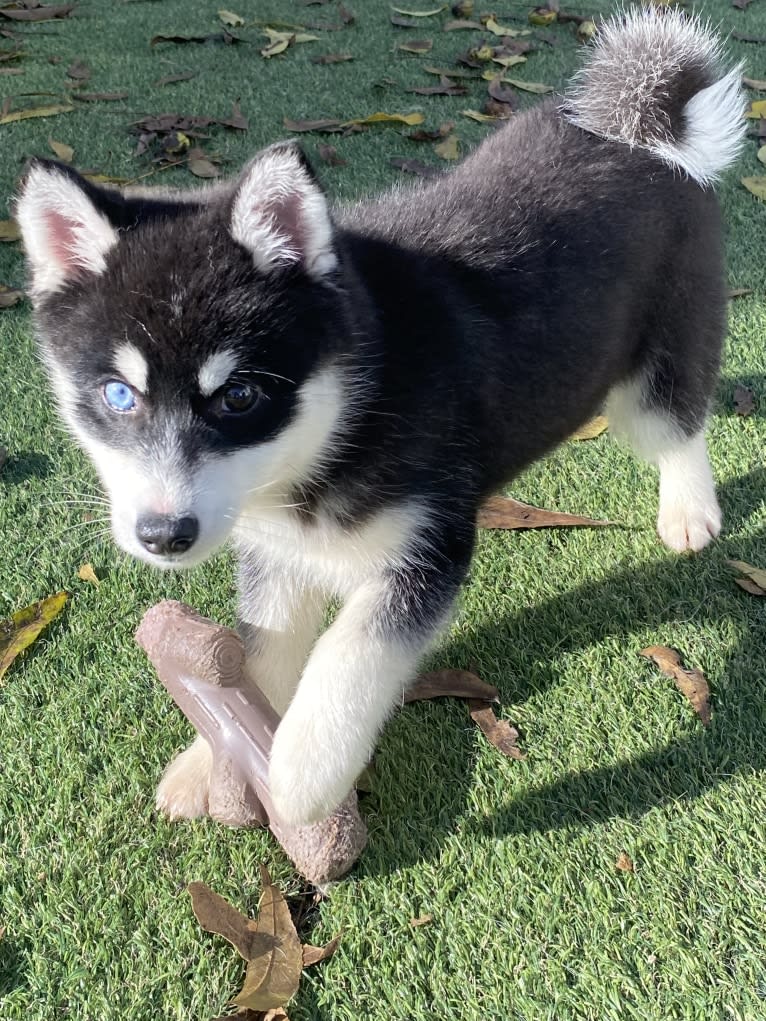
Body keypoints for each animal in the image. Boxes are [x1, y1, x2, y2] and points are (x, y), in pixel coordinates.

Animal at [15, 9, 747, 829]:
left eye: (239, 397)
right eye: (118, 396)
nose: (164, 535)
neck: (349, 410)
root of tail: (639, 133)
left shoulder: (429, 547)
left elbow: (352, 653)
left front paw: (299, 769)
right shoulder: (275, 550)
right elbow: (257, 650)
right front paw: (212, 759)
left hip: (655, 369)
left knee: (681, 424)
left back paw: (689, 510)